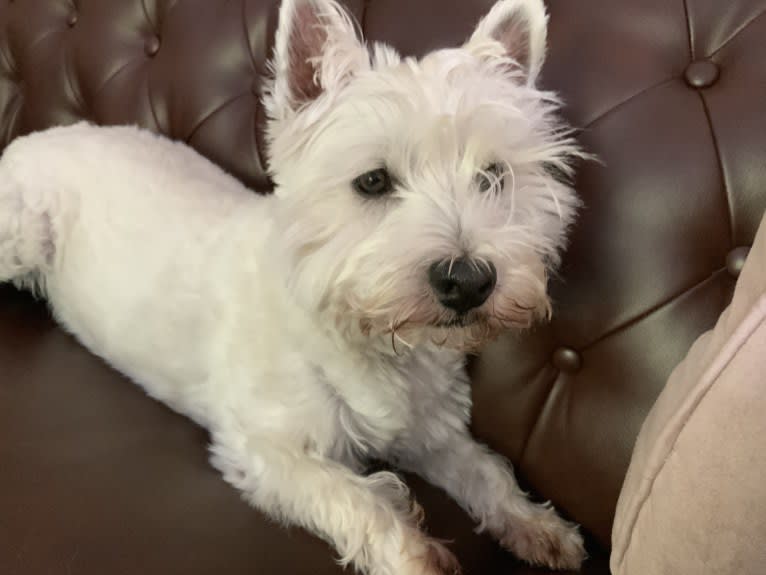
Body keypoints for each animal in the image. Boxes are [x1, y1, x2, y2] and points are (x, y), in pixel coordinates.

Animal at [0, 1, 588, 572]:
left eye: (493, 177)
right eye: (373, 181)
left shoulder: (430, 429)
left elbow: (485, 469)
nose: (468, 282)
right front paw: (416, 557)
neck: (367, 337)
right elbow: (359, 499)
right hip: (22, 236)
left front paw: (537, 526)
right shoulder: (265, 450)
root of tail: (35, 137)